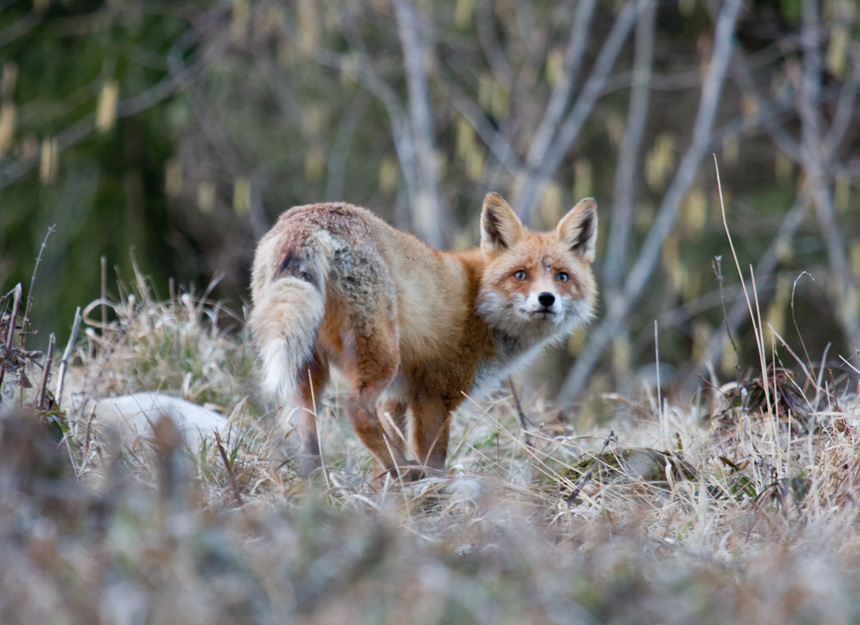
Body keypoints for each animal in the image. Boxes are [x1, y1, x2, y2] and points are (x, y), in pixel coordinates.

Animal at [249, 193, 596, 480]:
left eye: (562, 277)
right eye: (520, 275)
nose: (547, 299)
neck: (478, 302)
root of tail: (310, 214)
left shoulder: (397, 397)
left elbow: (382, 463)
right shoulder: (434, 396)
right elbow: (434, 459)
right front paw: (433, 494)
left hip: (307, 369)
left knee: (308, 439)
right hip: (382, 356)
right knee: (356, 409)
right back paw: (406, 471)